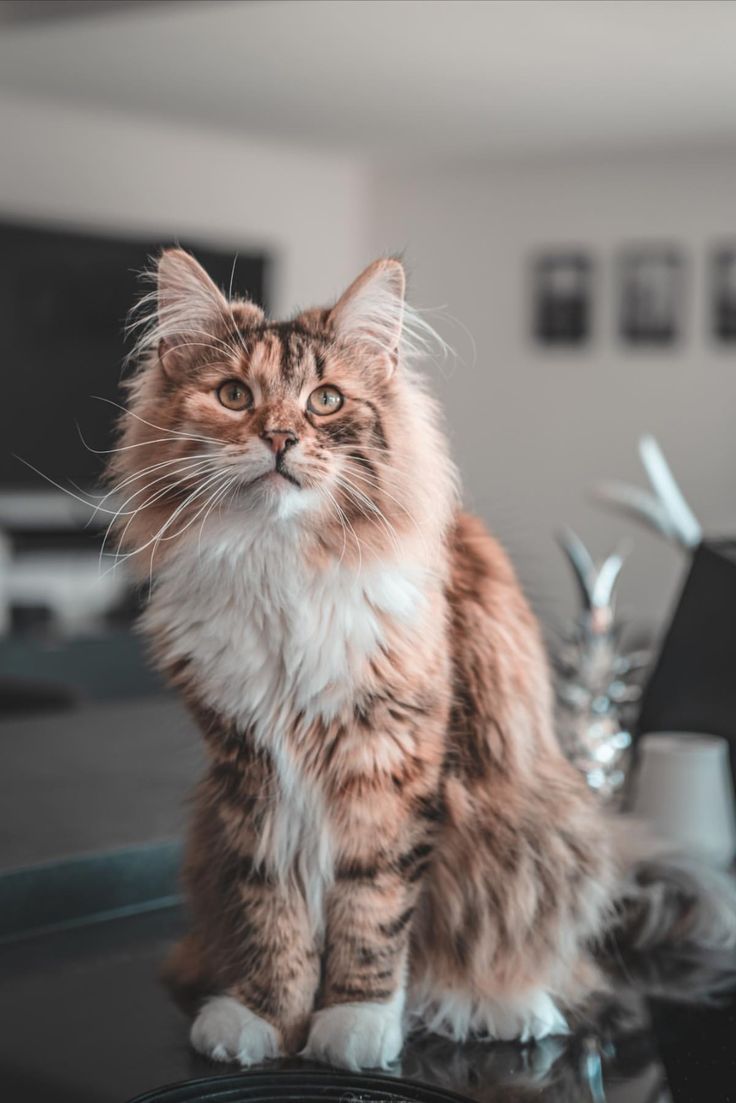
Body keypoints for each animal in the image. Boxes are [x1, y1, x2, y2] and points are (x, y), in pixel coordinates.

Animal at [109, 248, 736, 1067]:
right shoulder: (251, 765)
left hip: (540, 835)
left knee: (540, 962)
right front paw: (265, 1017)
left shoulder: (393, 755)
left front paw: (355, 1022)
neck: (281, 561)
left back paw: (502, 1004)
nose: (279, 438)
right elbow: (273, 907)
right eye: (234, 394)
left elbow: (372, 905)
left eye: (326, 401)